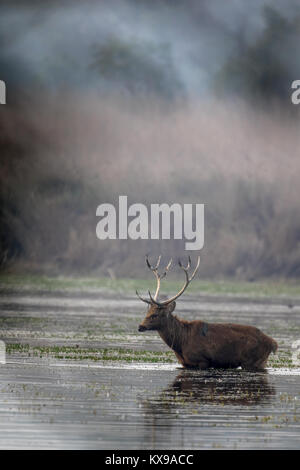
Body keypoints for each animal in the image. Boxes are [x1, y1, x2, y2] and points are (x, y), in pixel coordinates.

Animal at [137, 255, 278, 370]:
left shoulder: (202, 360)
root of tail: (273, 343)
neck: (181, 342)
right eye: (147, 312)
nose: (140, 326)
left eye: (155, 315)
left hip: (253, 362)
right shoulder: (185, 364)